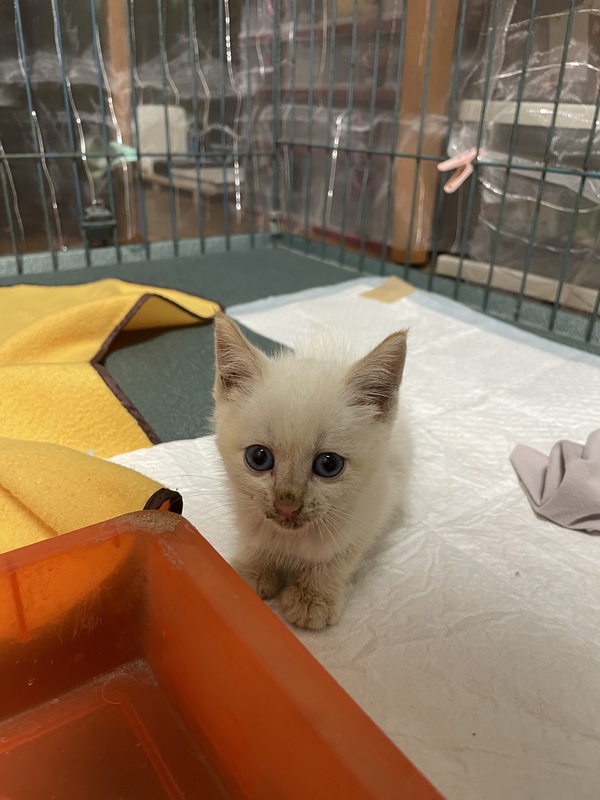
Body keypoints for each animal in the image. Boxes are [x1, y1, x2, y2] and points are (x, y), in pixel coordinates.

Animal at [212, 312, 411, 630]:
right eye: (259, 457)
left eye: (329, 464)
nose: (287, 504)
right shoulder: (247, 510)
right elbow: (256, 541)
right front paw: (251, 574)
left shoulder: (374, 509)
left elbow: (337, 558)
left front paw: (313, 598)